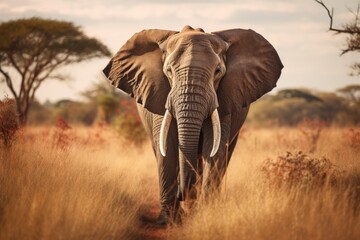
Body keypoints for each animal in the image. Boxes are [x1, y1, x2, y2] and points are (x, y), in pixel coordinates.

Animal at [102, 25, 282, 225]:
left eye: (218, 71)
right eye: (169, 71)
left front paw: (207, 215)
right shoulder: (160, 95)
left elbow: (214, 148)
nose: (182, 195)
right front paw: (168, 221)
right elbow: (168, 148)